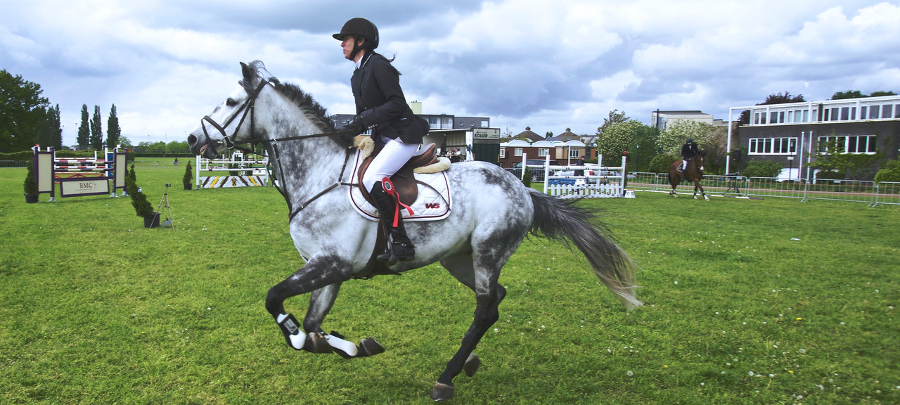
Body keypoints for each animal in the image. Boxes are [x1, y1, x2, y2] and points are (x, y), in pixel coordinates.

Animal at [188, 61, 640, 400]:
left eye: (231, 101)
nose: (193, 138)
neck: (320, 174)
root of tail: (522, 187)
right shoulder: (328, 269)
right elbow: (314, 327)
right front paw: (354, 345)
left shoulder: (331, 264)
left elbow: (277, 302)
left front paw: (317, 339)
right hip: (459, 259)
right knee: (495, 300)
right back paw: (467, 363)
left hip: (488, 251)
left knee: (484, 308)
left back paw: (446, 378)